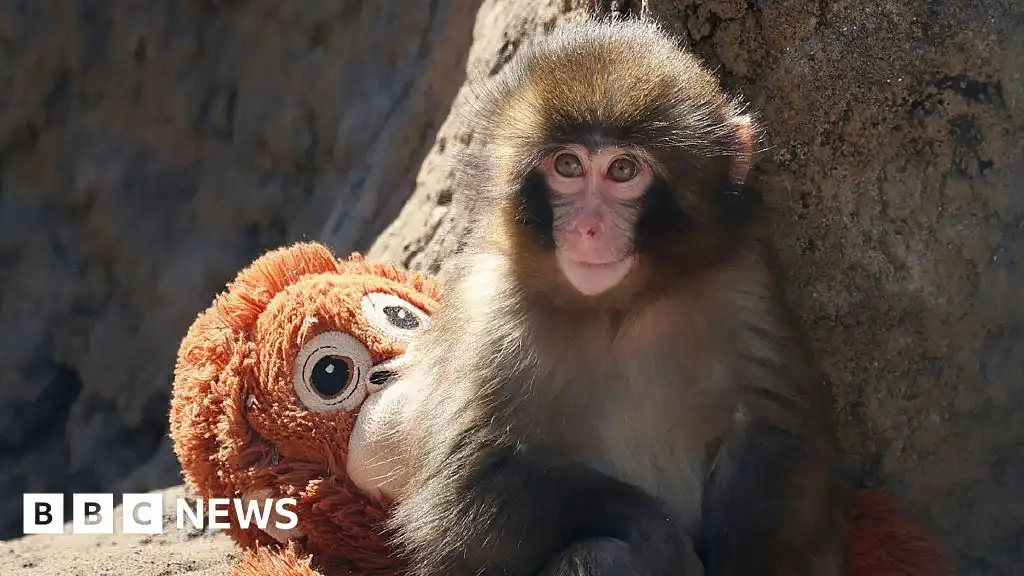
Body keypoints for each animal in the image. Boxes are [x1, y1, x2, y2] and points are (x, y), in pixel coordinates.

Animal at [384, 16, 847, 576]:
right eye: (567, 165)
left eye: (623, 171)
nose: (588, 228)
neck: (616, 308)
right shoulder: (489, 312)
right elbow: (460, 499)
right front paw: (657, 534)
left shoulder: (742, 281)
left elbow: (776, 436)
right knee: (599, 554)